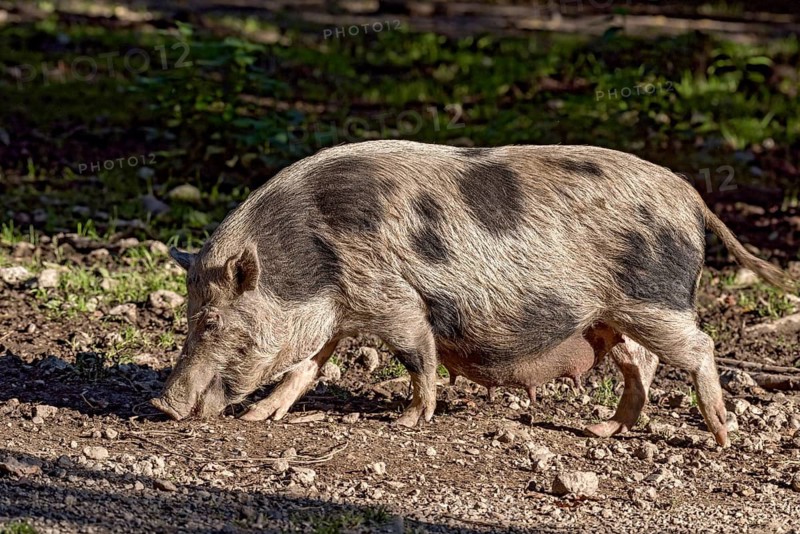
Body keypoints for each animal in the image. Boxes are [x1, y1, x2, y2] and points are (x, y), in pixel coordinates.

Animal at [151, 140, 791, 447]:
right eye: (188, 316)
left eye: (210, 321)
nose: (161, 405)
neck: (313, 267)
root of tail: (692, 197)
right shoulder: (337, 315)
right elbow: (305, 367)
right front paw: (259, 416)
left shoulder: (394, 298)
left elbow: (417, 355)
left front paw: (409, 422)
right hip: (616, 316)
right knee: (642, 363)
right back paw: (602, 432)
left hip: (656, 299)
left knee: (700, 348)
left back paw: (722, 437)